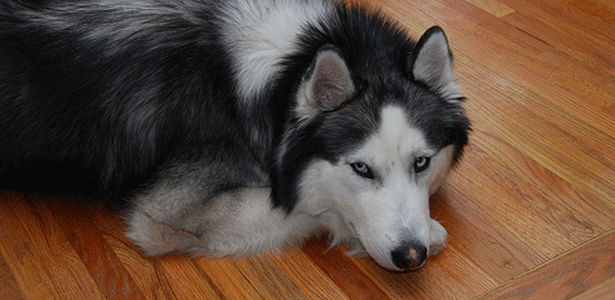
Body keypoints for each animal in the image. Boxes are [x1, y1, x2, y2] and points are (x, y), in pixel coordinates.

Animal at [1, 0, 472, 272]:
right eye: (360, 168)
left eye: (422, 162)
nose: (411, 256)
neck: (288, 70)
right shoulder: (165, 214)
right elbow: (309, 205)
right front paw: (430, 230)